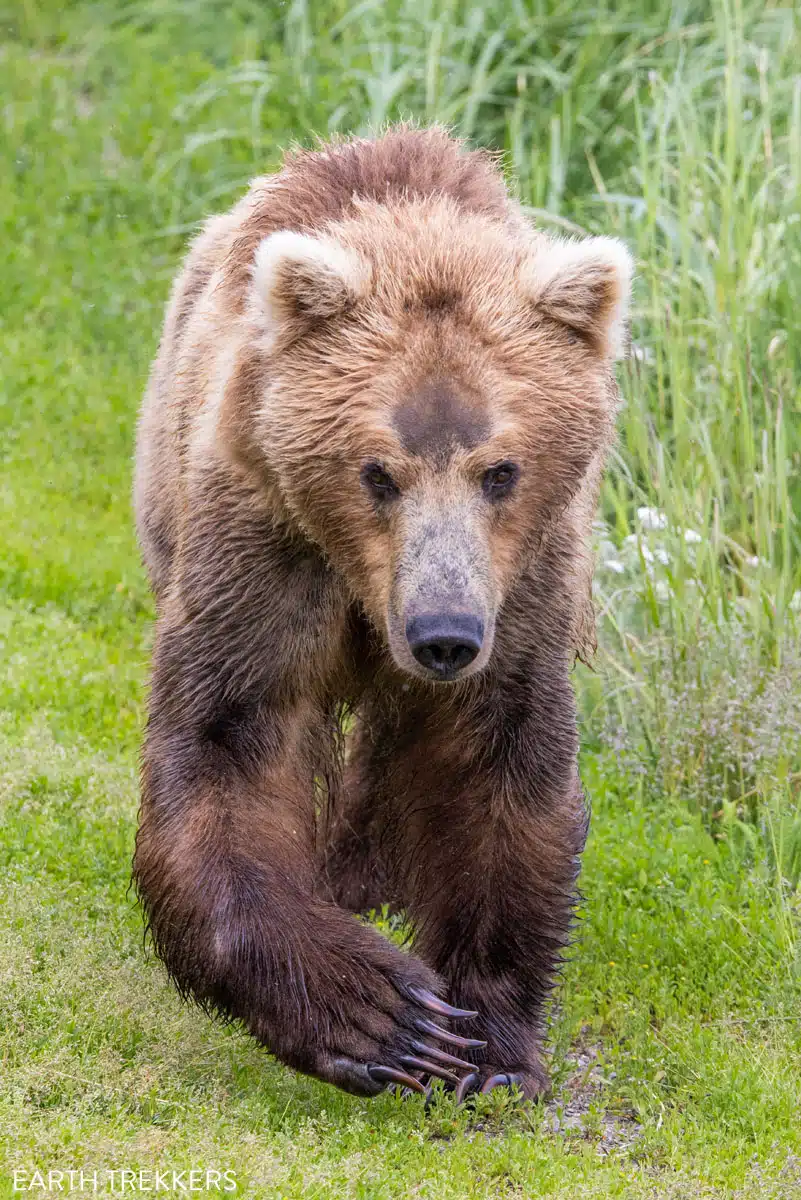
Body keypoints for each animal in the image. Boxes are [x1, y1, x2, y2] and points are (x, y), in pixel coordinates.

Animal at [133, 125, 632, 1102]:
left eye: (499, 470)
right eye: (376, 471)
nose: (442, 636)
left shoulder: (520, 592)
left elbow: (500, 762)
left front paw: (485, 1043)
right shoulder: (266, 553)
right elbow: (225, 747)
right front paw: (384, 1019)